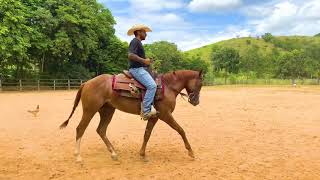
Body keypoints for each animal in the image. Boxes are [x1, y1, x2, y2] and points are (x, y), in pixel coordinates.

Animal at [59, 69, 202, 162]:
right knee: (80, 128)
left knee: (101, 130)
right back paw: (78, 156)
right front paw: (191, 152)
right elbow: (181, 130)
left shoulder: (154, 117)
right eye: (200, 84)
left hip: (107, 111)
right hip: (90, 110)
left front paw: (142, 154)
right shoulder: (165, 115)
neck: (168, 87)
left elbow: (147, 134)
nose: (196, 101)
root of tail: (86, 83)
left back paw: (114, 154)